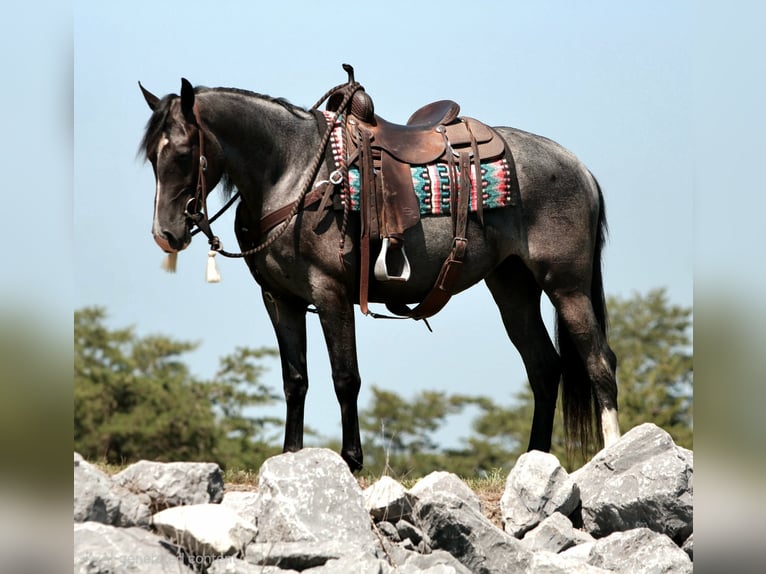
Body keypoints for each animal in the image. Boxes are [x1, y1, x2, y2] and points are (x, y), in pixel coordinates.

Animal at [139, 73, 620, 471]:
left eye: (184, 152)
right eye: (151, 158)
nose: (166, 233)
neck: (292, 173)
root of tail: (578, 166)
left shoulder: (329, 293)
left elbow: (344, 377)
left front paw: (351, 460)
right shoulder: (280, 299)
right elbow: (295, 379)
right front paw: (291, 456)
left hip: (567, 286)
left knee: (599, 362)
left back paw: (612, 454)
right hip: (513, 288)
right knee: (544, 367)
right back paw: (535, 458)